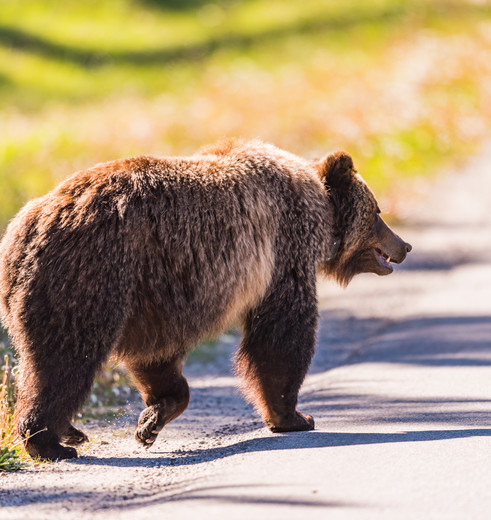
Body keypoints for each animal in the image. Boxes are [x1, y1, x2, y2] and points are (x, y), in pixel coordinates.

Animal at [0, 138, 412, 460]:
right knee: (66, 356)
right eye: (377, 211)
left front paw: (152, 419)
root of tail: (28, 225)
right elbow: (281, 336)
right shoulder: (282, 252)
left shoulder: (155, 299)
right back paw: (49, 441)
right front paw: (295, 417)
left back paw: (67, 431)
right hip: (89, 274)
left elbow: (156, 356)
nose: (404, 245)